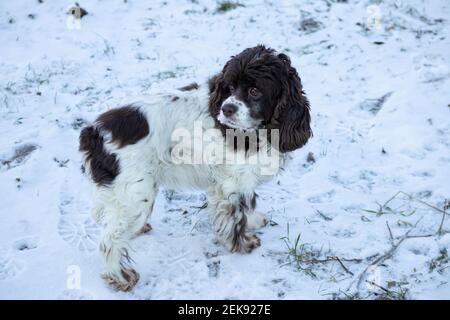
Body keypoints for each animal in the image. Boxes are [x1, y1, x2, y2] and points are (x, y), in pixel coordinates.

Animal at [79, 45, 312, 290]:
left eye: (255, 91)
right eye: (230, 88)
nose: (226, 109)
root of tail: (93, 132)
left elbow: (245, 205)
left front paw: (253, 221)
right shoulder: (232, 182)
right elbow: (236, 214)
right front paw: (243, 243)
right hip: (136, 195)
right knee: (109, 239)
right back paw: (121, 276)